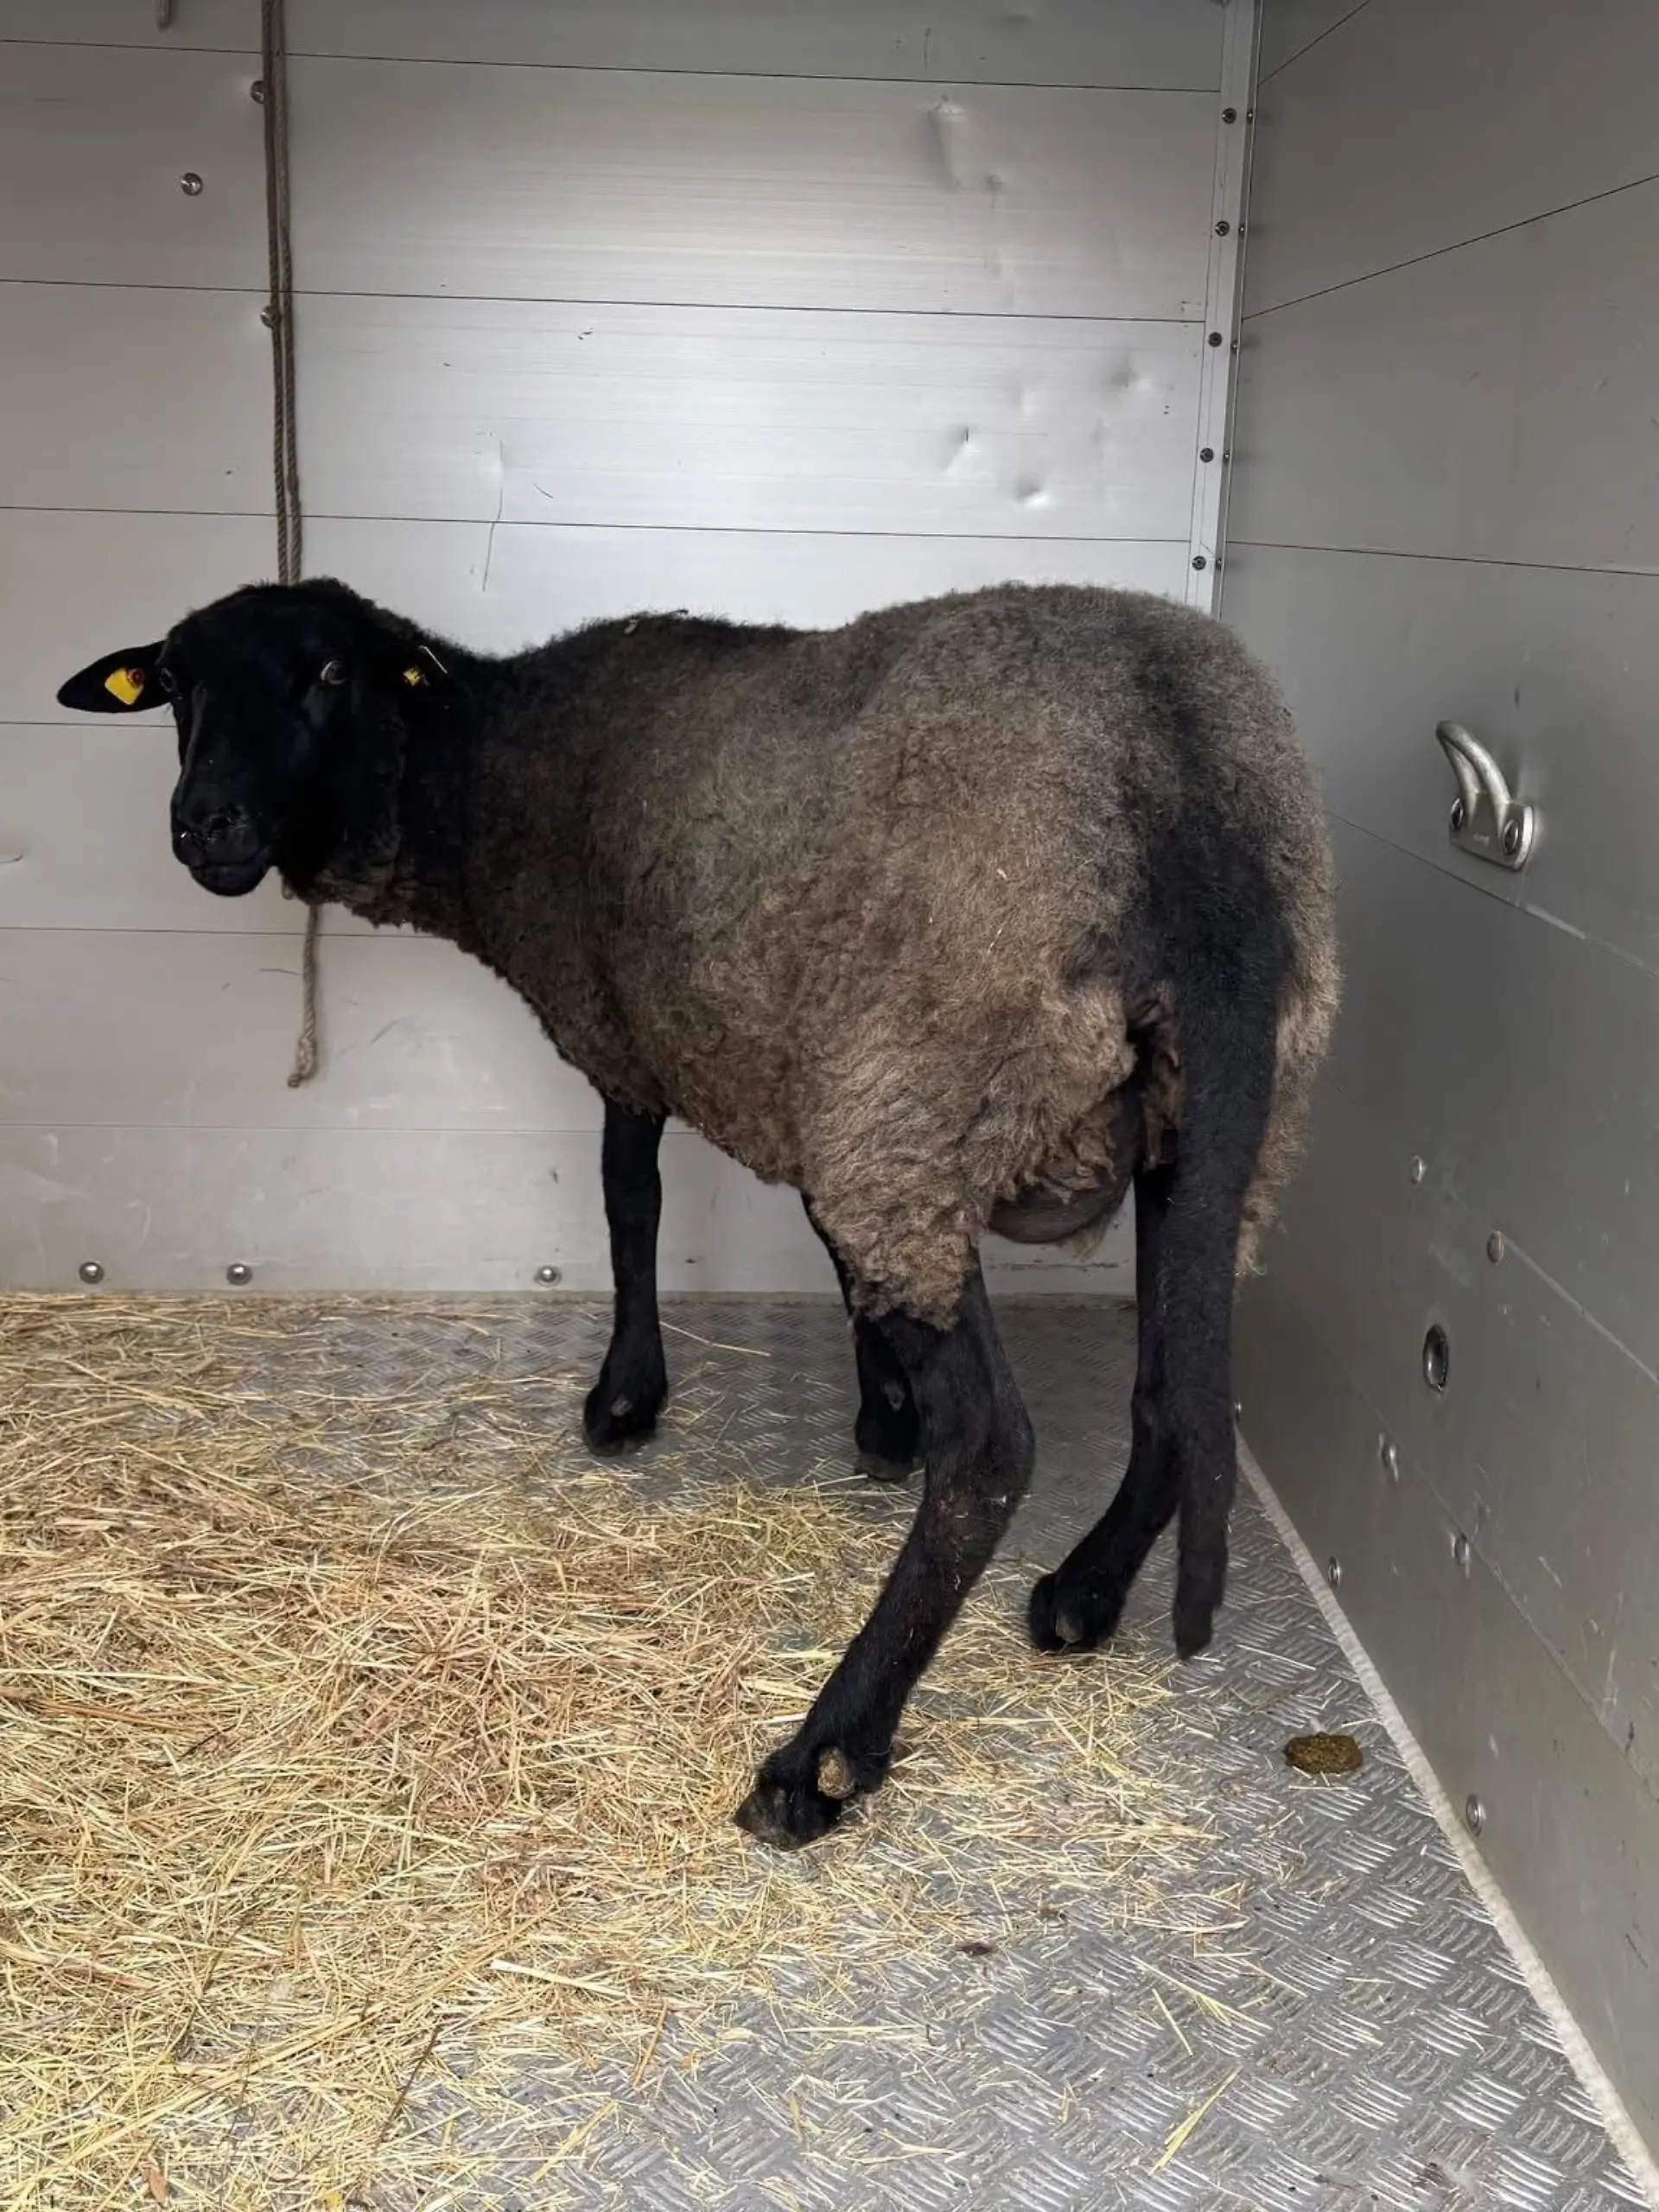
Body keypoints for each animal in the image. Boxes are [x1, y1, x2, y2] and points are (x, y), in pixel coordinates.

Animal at [58, 577, 1339, 1851]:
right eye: (172, 683)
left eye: (328, 671)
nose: (205, 825)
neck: (490, 767)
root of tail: (1185, 796)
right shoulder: (798, 1074)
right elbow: (830, 1251)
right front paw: (881, 1415)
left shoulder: (644, 1043)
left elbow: (632, 1203)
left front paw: (628, 1396)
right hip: (1199, 1131)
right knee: (1177, 1384)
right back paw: (1085, 1592)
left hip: (921, 1095)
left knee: (993, 1447)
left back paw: (823, 1756)